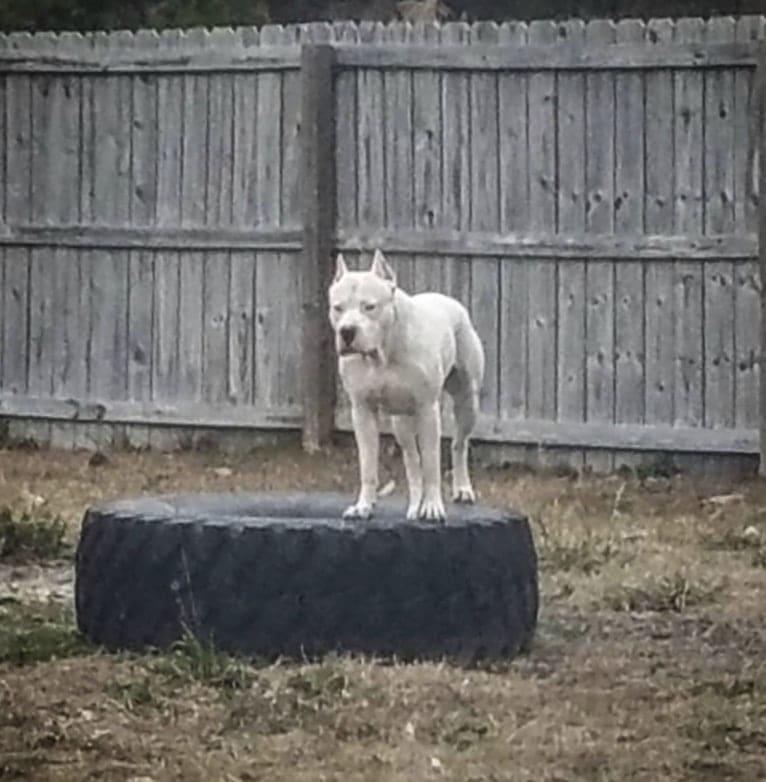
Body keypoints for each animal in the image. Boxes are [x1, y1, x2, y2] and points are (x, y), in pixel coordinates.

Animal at [328, 248, 486, 524]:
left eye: (370, 307)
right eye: (338, 308)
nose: (347, 331)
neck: (384, 352)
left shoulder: (427, 411)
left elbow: (432, 464)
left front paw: (432, 506)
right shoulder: (362, 412)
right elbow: (368, 464)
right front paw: (363, 506)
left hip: (468, 402)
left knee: (459, 444)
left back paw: (462, 488)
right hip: (400, 422)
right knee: (412, 460)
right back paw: (414, 503)